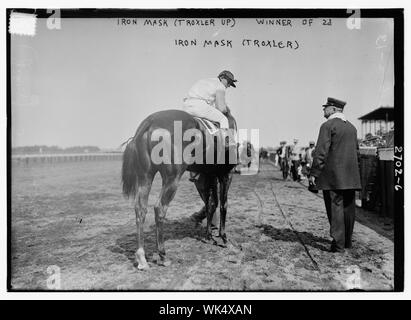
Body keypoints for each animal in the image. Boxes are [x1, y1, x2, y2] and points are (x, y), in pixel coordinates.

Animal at [121, 109, 238, 268]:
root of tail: (149, 122)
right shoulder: (226, 175)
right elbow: (223, 205)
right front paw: (225, 239)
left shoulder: (209, 175)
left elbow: (211, 204)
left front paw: (208, 236)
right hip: (172, 179)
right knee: (159, 208)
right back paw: (163, 255)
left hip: (145, 176)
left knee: (140, 209)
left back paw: (141, 257)